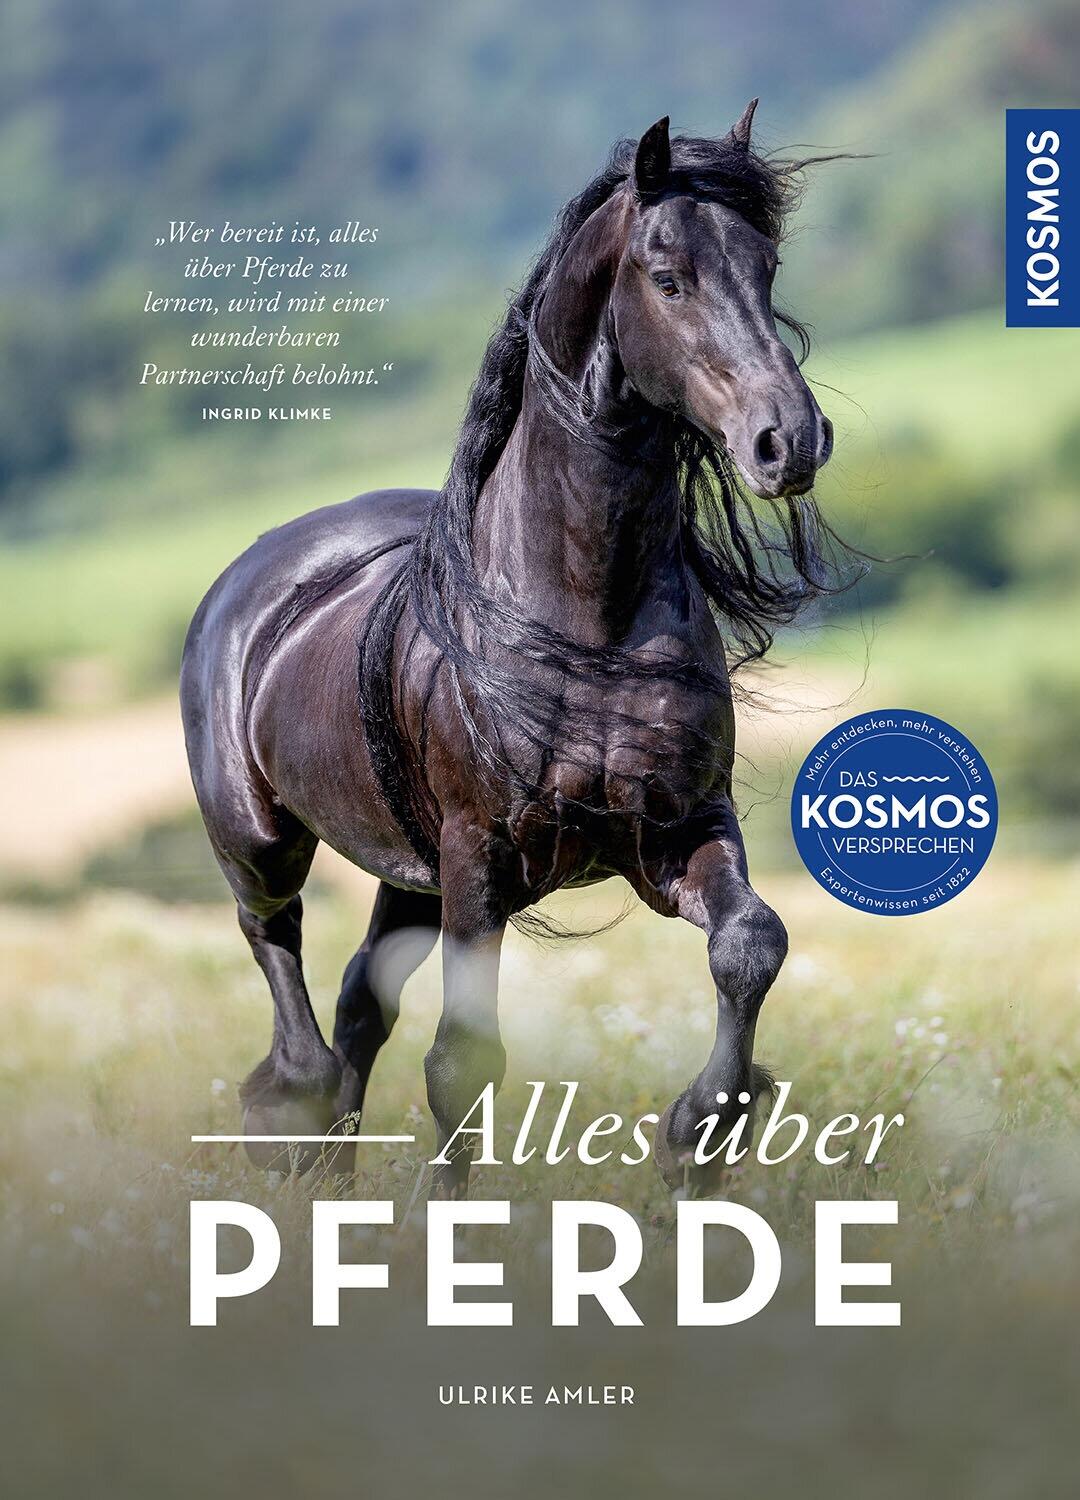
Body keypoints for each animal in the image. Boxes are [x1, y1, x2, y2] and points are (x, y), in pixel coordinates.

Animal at [181, 104, 840, 1197]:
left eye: (768, 264)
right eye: (669, 277)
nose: (788, 442)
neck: (587, 619)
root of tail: (258, 569)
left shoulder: (677, 829)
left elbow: (752, 942)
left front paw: (701, 1132)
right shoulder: (479, 858)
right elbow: (463, 1058)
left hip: (406, 874)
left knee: (360, 1003)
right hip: (265, 840)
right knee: (281, 955)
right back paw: (294, 1120)